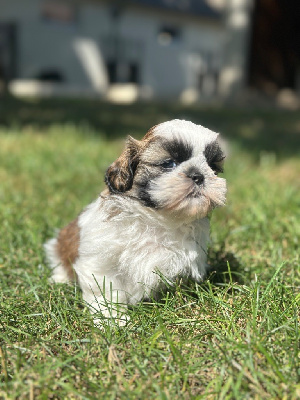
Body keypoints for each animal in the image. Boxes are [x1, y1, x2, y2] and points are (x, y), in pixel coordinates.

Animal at [45, 119, 225, 324]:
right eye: (169, 163)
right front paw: (112, 319)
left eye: (213, 167)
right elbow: (105, 289)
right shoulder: (100, 259)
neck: (159, 221)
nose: (198, 176)